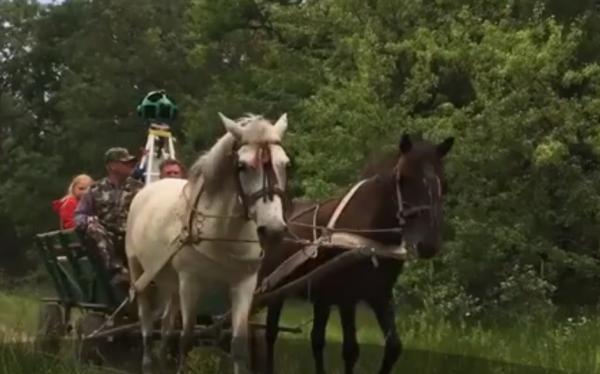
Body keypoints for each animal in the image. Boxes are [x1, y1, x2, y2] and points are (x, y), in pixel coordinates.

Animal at [126, 112, 290, 372]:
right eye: (243, 166)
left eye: (285, 164)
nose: (273, 229)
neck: (223, 234)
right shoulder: (190, 282)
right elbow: (186, 339)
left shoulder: (244, 284)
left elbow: (239, 344)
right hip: (139, 271)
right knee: (146, 323)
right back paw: (148, 362)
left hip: (170, 281)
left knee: (166, 325)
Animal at [258, 133, 454, 372]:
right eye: (403, 179)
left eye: (444, 183)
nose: (428, 244)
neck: (369, 236)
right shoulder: (347, 298)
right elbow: (351, 351)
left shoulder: (380, 295)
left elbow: (394, 347)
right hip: (274, 286)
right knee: (270, 333)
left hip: (320, 297)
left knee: (316, 339)